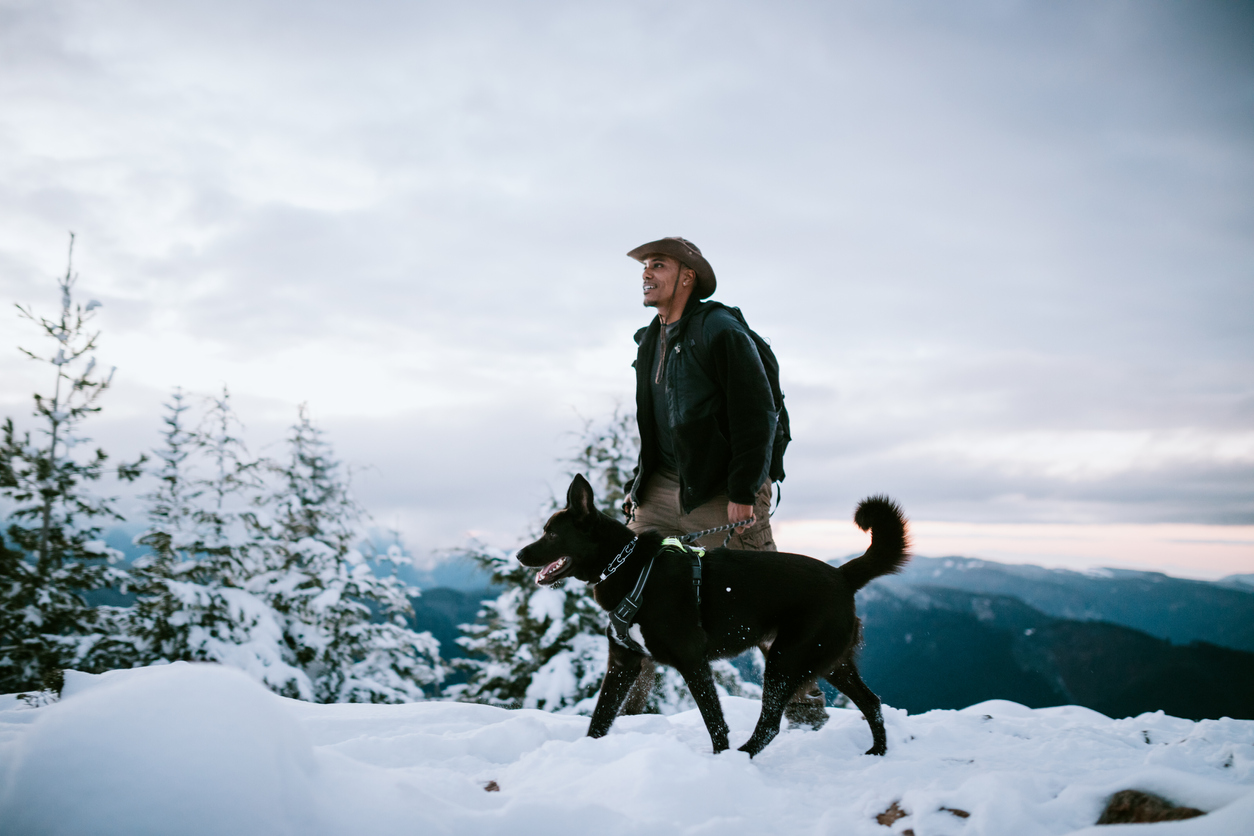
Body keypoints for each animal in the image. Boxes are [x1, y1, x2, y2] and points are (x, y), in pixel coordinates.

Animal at [514, 476, 907, 757]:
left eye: (551, 533)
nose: (518, 555)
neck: (628, 566)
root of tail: (842, 575)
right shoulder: (623, 662)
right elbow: (601, 716)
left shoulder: (692, 661)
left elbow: (713, 720)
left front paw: (721, 758)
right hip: (829, 661)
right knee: (871, 702)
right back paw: (878, 750)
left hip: (784, 661)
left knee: (770, 723)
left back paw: (743, 756)